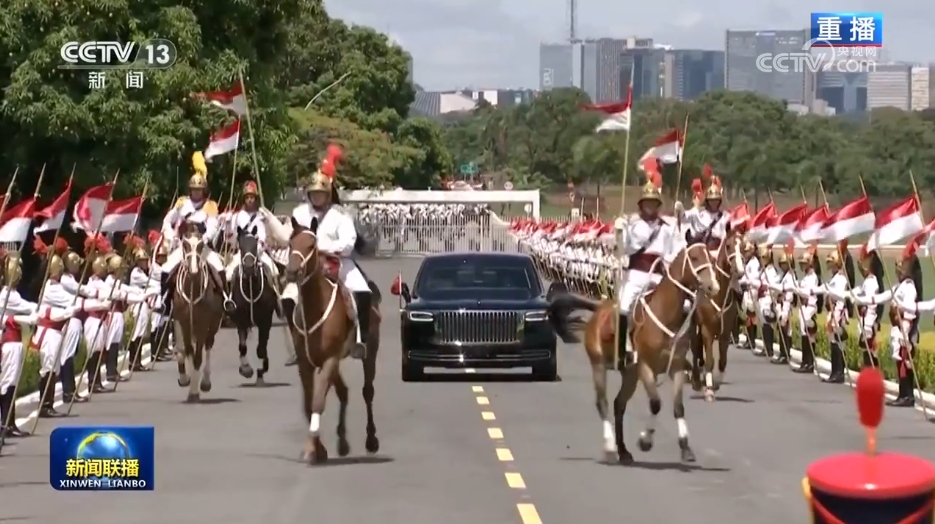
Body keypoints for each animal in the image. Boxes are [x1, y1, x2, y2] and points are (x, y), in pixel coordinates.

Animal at [171, 224, 224, 402]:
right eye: (185, 245)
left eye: (201, 245)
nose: (193, 270)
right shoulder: (183, 323)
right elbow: (187, 351)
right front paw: (187, 384)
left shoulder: (202, 324)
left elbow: (198, 357)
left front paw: (195, 391)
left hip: (214, 324)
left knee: (208, 346)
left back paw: (205, 382)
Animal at [284, 217, 382, 462]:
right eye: (290, 244)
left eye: (312, 245)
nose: (292, 271)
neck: (315, 309)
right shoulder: (307, 364)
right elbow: (309, 405)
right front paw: (317, 449)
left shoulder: (329, 360)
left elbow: (318, 401)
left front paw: (312, 447)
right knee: (344, 391)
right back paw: (343, 442)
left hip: (369, 352)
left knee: (368, 391)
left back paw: (371, 440)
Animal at [544, 244, 720, 464]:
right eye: (695, 257)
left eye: (711, 258)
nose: (714, 286)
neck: (666, 316)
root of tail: (599, 308)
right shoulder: (645, 367)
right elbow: (655, 404)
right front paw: (645, 440)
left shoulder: (676, 367)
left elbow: (678, 407)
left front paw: (685, 448)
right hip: (599, 366)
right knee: (602, 403)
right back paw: (610, 448)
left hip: (629, 375)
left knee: (618, 404)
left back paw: (623, 451)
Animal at [688, 229, 744, 402]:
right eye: (729, 246)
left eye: (744, 246)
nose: (740, 271)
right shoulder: (707, 329)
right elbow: (710, 361)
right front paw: (709, 390)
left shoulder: (725, 333)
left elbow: (722, 361)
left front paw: (716, 384)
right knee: (695, 347)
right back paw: (697, 380)